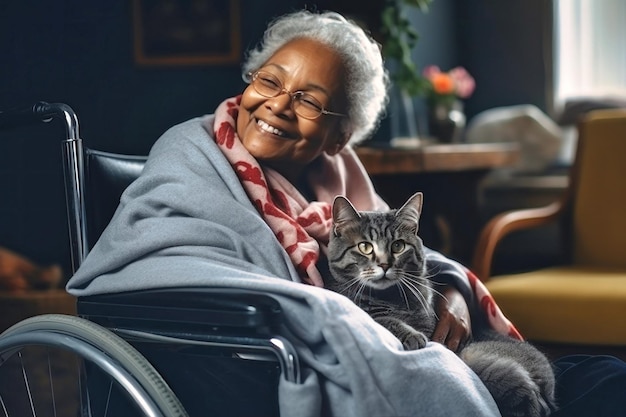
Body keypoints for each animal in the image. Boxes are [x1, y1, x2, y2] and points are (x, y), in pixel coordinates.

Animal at [324, 193, 552, 416]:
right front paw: (412, 336)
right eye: (365, 247)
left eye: (398, 246)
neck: (390, 296)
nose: (384, 264)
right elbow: (385, 320)